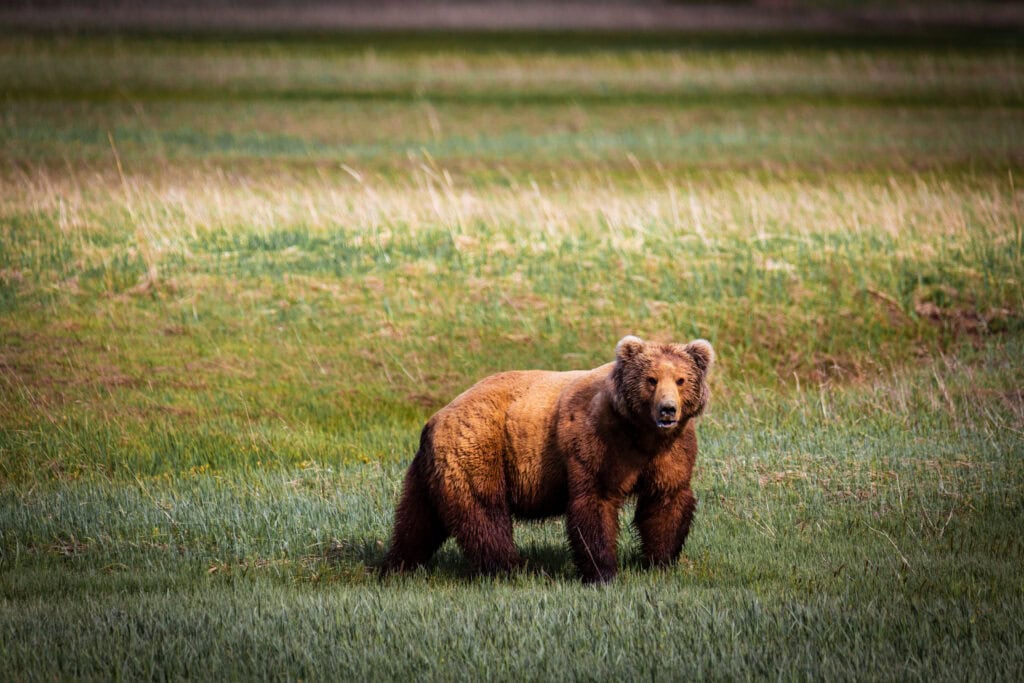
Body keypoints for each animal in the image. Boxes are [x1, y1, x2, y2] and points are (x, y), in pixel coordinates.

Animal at [380, 335, 714, 583]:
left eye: (681, 379)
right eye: (651, 379)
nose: (668, 410)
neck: (641, 432)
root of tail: (435, 418)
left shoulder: (671, 450)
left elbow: (666, 499)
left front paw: (659, 561)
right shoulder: (597, 441)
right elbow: (595, 500)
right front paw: (603, 572)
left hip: (432, 470)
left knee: (418, 519)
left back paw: (398, 566)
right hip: (478, 449)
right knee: (483, 513)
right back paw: (511, 569)